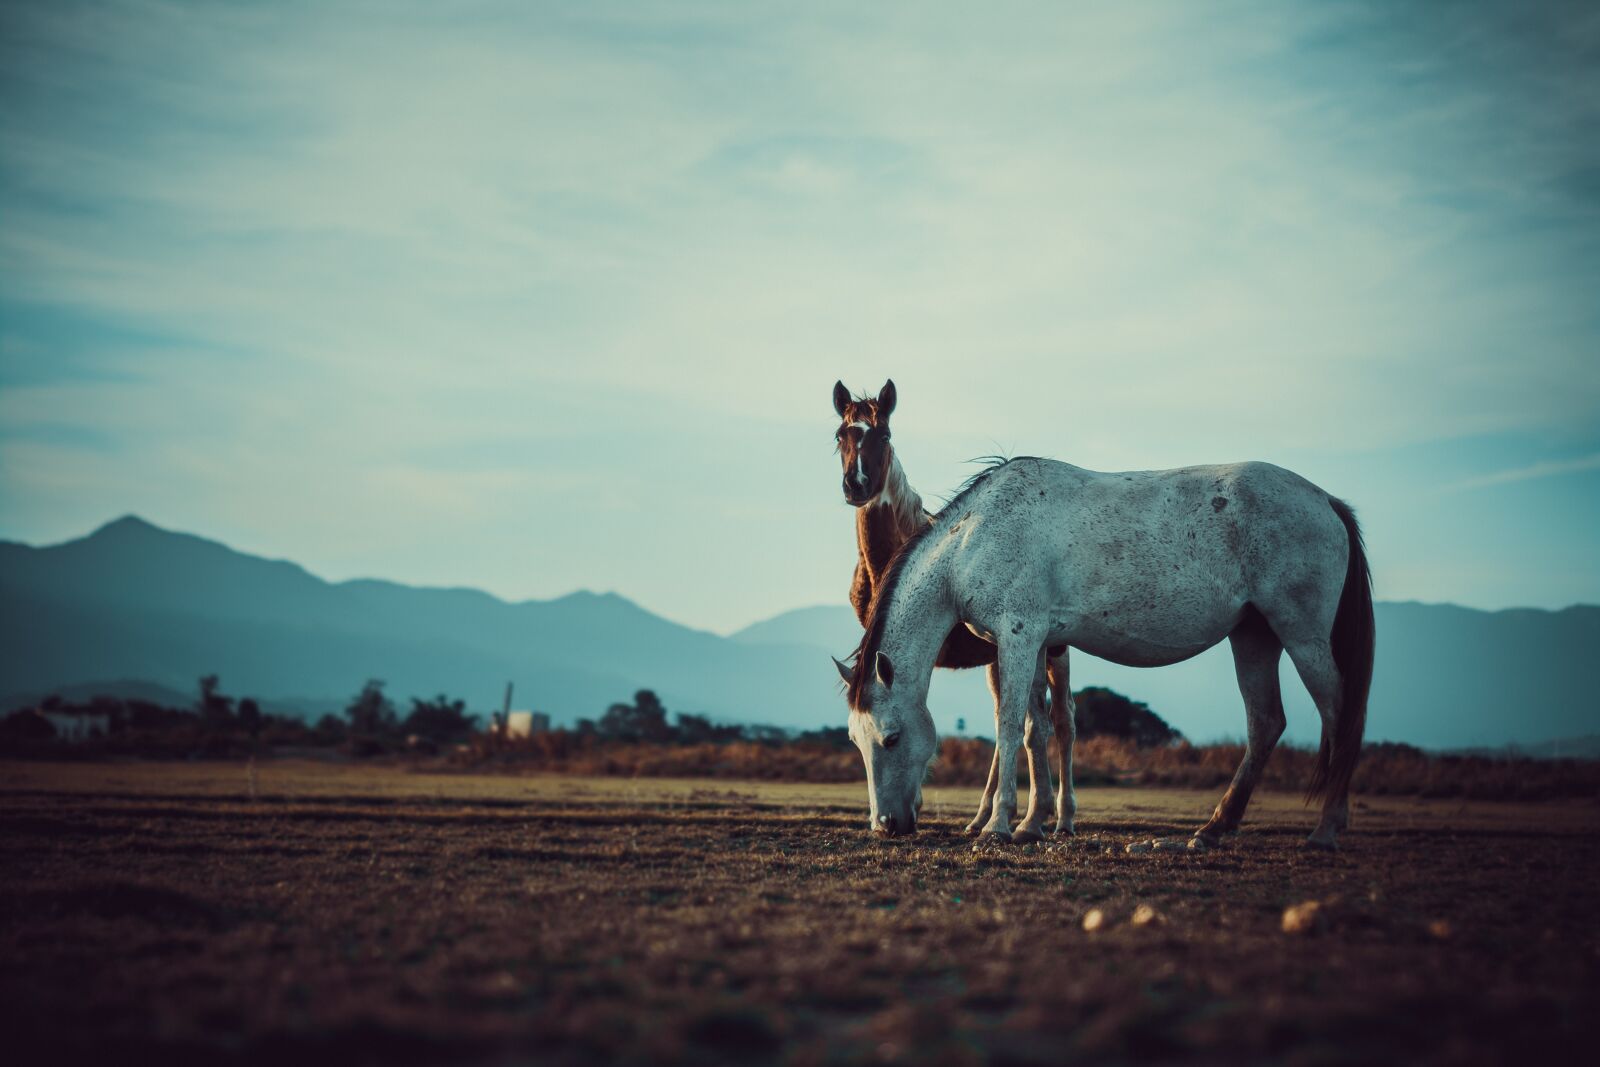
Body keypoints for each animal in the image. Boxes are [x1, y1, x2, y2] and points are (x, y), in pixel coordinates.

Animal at [831, 380, 1076, 840]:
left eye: (884, 435)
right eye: (841, 436)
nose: (857, 485)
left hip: (1055, 650)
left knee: (1062, 721)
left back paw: (1062, 818)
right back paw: (986, 817)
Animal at [840, 456, 1374, 849]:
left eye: (891, 738)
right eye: (854, 741)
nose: (886, 825)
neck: (974, 539)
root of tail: (1325, 501)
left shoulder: (1017, 637)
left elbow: (1010, 727)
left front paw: (997, 826)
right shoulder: (1034, 643)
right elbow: (1036, 730)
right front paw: (1032, 824)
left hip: (1301, 635)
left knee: (1338, 714)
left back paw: (1325, 830)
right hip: (1254, 637)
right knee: (1265, 724)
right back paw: (1214, 829)